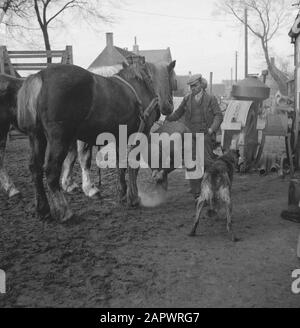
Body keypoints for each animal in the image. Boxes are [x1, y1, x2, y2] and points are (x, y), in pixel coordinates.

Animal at [1, 60, 176, 222]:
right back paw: (65, 211)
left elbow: (120, 165)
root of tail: (40, 76)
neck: (141, 86)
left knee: (35, 169)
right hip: (58, 138)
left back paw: (42, 209)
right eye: (173, 79)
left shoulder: (119, 136)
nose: (168, 106)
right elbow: (133, 166)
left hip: (37, 136)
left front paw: (122, 194)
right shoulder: (140, 134)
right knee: (51, 171)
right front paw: (134, 198)